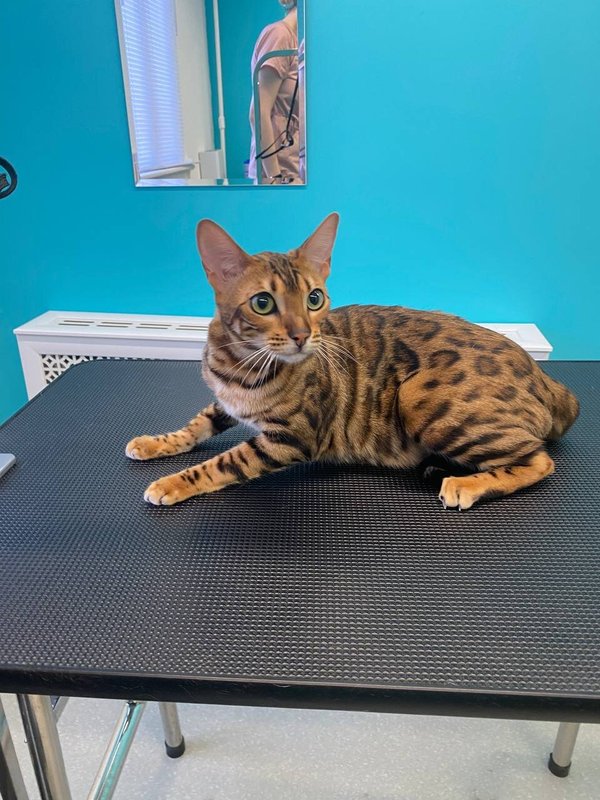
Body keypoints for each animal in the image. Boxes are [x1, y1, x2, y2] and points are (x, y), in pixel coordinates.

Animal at [126, 213, 579, 510]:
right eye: (263, 303)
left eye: (314, 298)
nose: (302, 335)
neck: (242, 365)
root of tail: (552, 384)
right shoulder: (225, 400)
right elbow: (197, 424)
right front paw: (155, 442)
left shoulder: (291, 438)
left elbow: (221, 463)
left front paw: (172, 483)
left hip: (420, 399)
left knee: (540, 459)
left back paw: (468, 485)